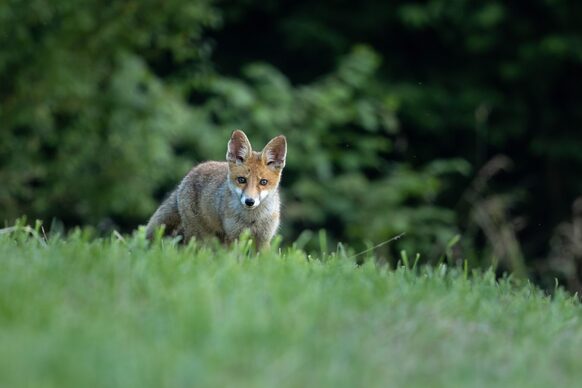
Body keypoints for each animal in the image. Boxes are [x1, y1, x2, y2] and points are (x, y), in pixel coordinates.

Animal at [146, 129, 288, 250]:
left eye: (263, 182)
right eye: (242, 180)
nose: (249, 201)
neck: (251, 219)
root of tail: (188, 175)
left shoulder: (264, 240)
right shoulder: (233, 237)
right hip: (199, 236)